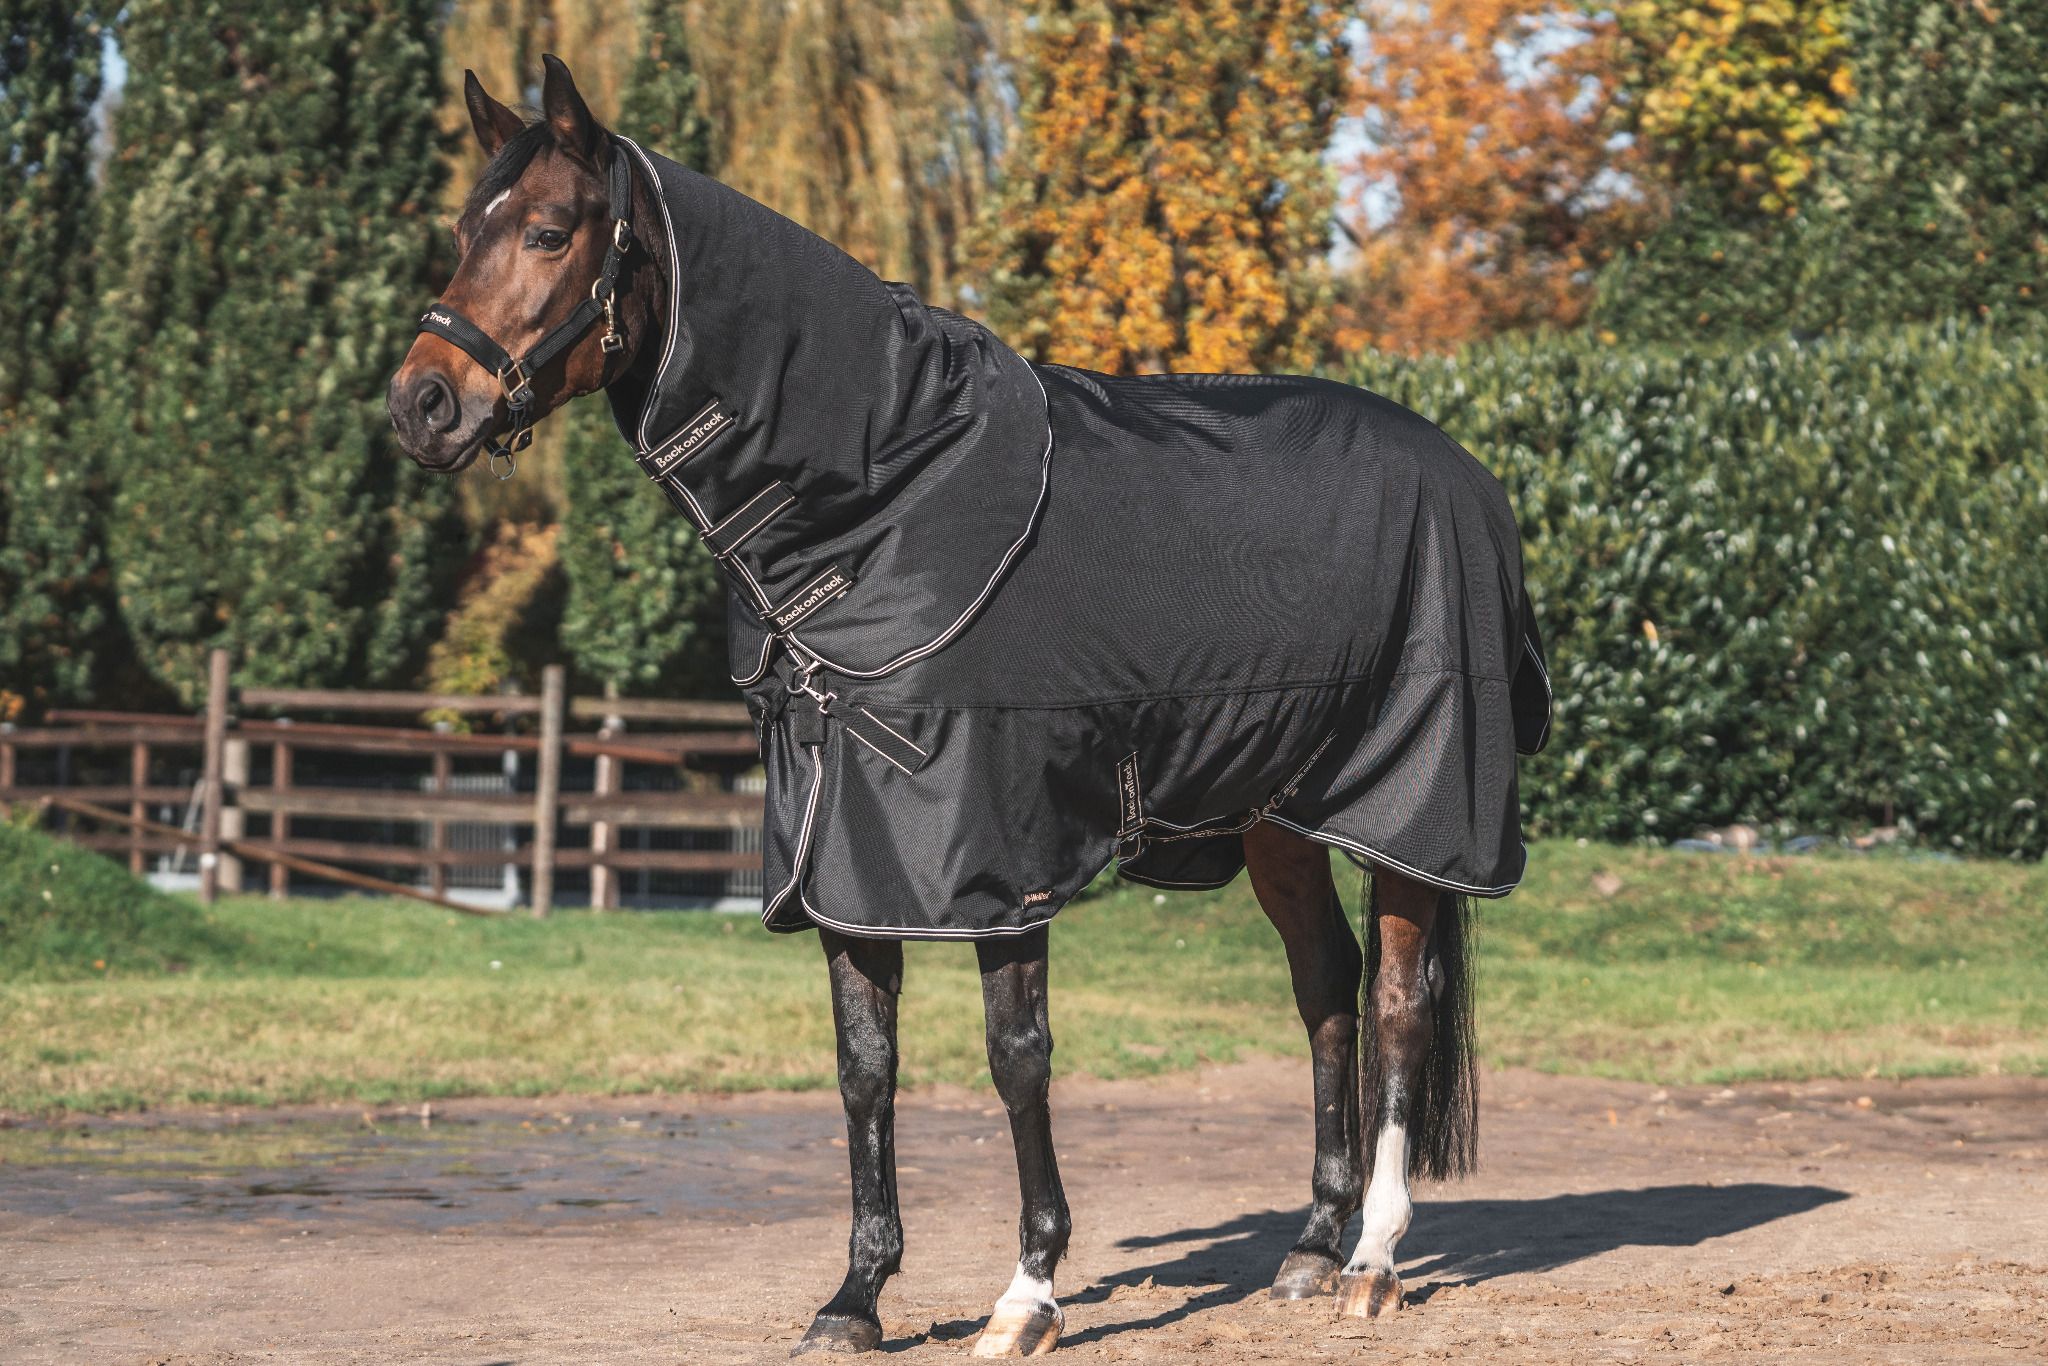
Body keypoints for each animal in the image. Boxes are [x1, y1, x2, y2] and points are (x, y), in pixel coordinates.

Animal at [387, 56, 1550, 1358]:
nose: (421, 403)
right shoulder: (841, 851)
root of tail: (1463, 472)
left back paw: (1371, 1260)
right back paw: (1304, 1247)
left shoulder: (996, 850)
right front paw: (853, 1297)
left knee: (1395, 1002)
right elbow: (863, 1066)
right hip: (1278, 813)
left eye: (547, 230)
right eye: (461, 230)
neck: (890, 497)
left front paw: (1027, 1289)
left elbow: (1015, 1057)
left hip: (1408, 805)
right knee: (1324, 988)